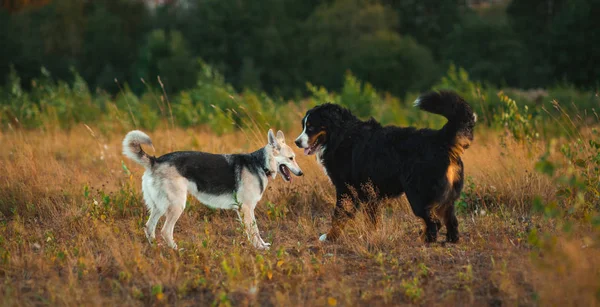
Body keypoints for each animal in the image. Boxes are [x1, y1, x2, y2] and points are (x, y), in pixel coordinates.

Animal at [122, 128, 302, 250]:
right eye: (290, 158)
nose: (301, 173)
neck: (260, 163)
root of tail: (155, 161)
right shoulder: (246, 208)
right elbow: (254, 231)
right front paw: (259, 248)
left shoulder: (244, 209)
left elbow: (253, 231)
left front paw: (261, 245)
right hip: (176, 205)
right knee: (165, 231)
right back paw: (176, 250)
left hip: (159, 206)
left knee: (149, 227)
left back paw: (155, 248)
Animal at [294, 90, 474, 244]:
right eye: (303, 125)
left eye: (311, 126)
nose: (296, 142)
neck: (341, 135)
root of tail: (441, 138)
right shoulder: (369, 191)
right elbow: (372, 219)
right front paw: (371, 236)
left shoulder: (345, 188)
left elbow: (339, 215)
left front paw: (330, 236)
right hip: (445, 196)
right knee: (450, 220)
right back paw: (450, 240)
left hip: (418, 195)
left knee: (434, 222)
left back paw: (425, 240)